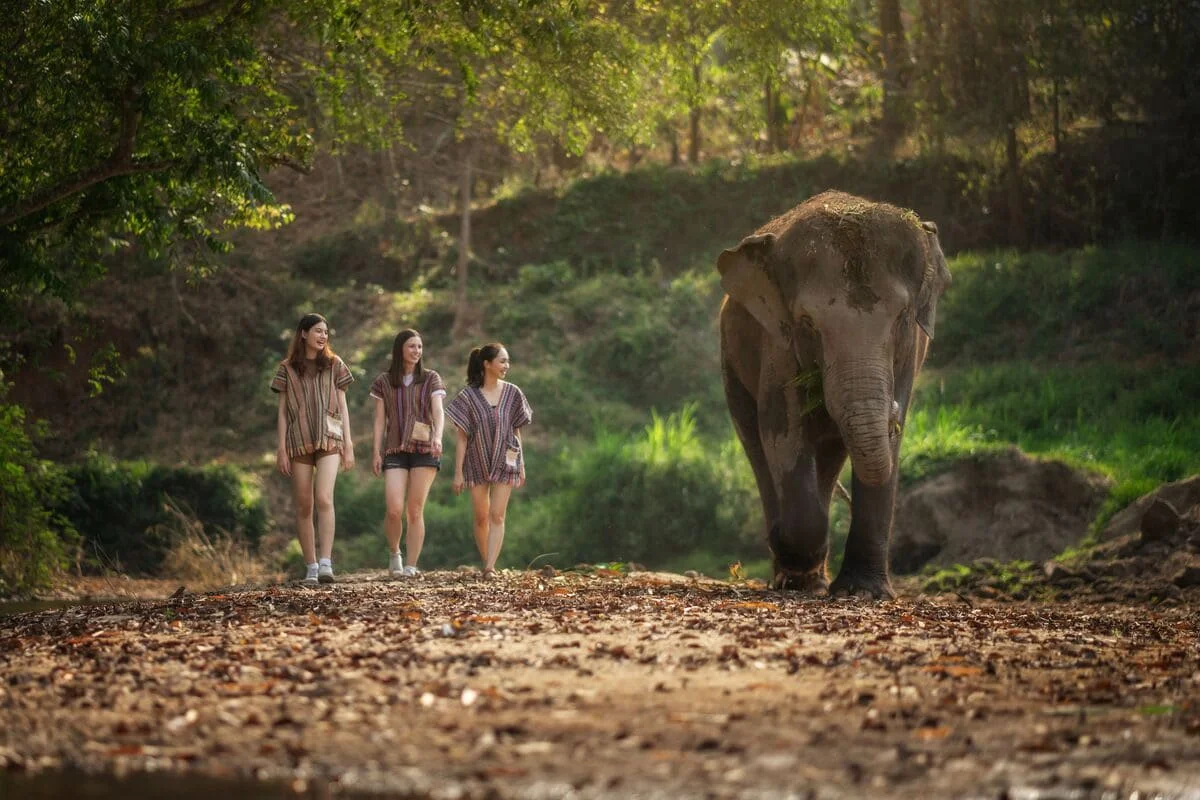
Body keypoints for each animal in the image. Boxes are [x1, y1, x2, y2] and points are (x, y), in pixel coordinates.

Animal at [718, 190, 951, 599]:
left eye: (903, 318)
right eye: (808, 323)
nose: (891, 411)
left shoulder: (912, 352)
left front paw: (864, 593)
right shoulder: (778, 345)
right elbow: (782, 431)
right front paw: (795, 563)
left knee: (828, 453)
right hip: (731, 360)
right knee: (756, 443)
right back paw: (793, 573)